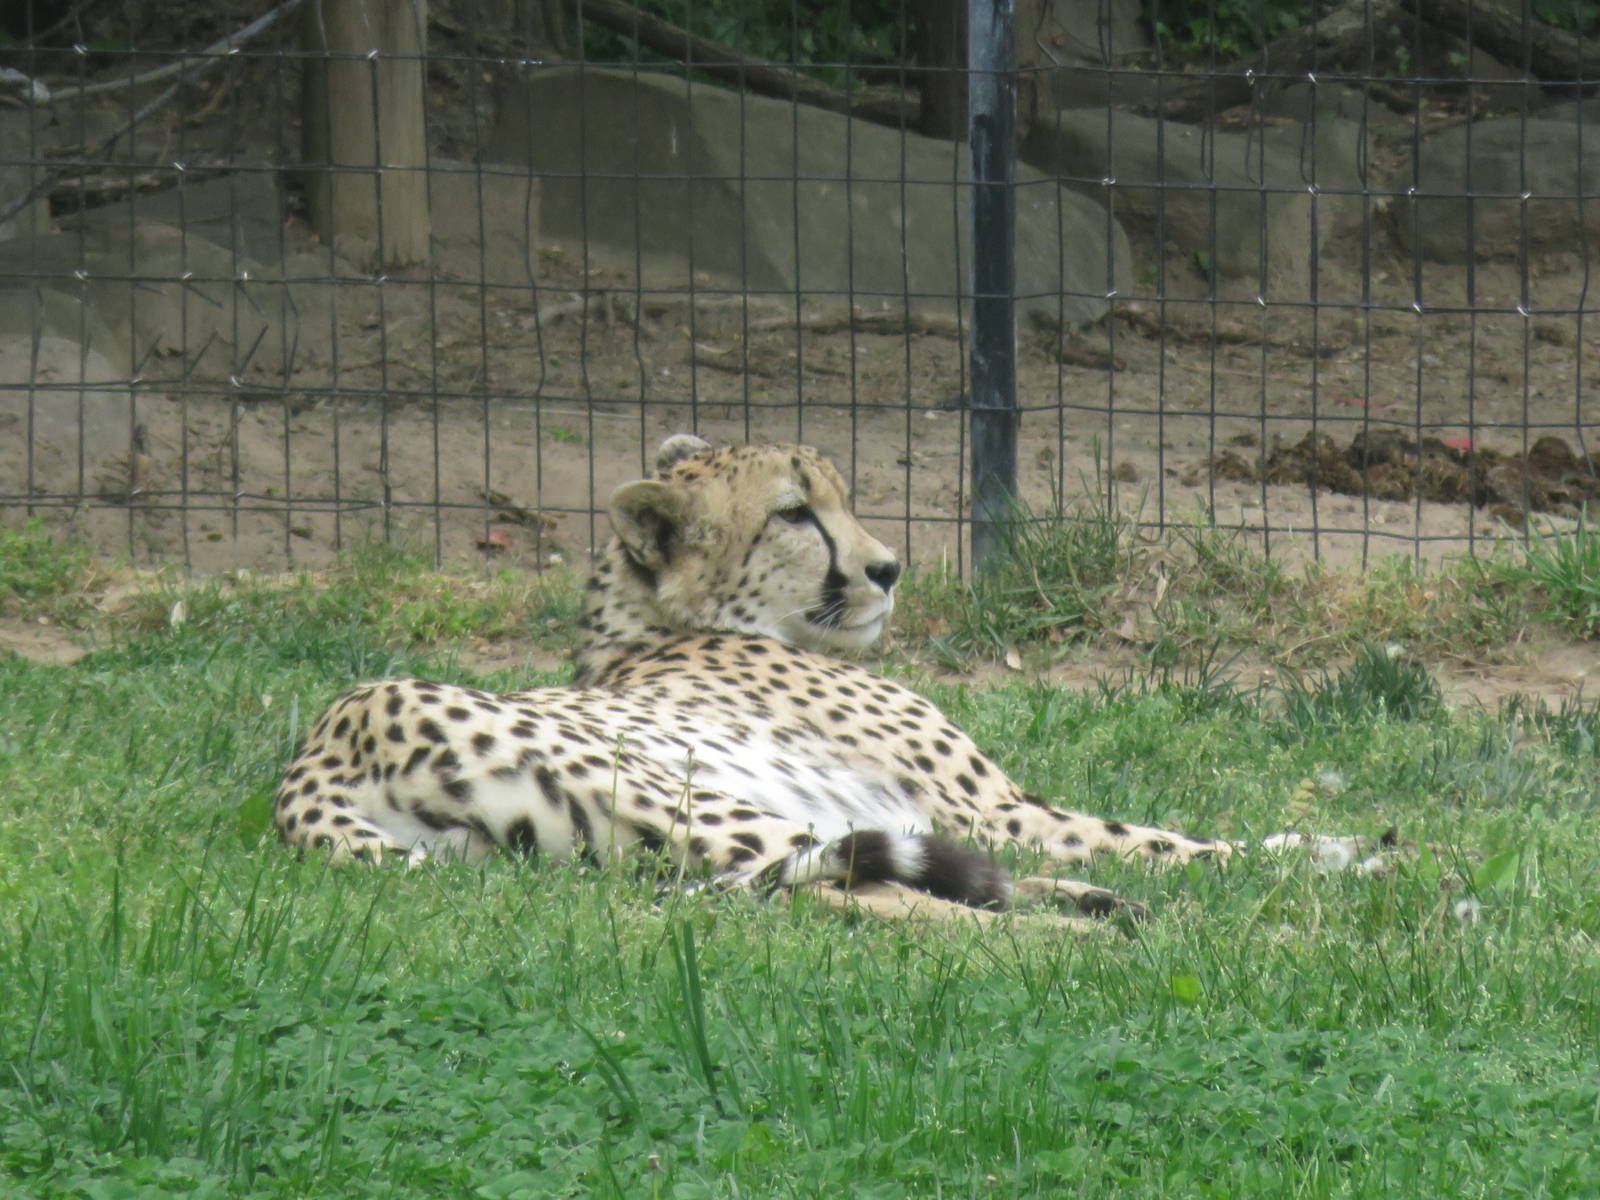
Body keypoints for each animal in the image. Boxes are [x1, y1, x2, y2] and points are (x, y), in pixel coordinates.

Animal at [273, 433, 1385, 919]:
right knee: (869, 891)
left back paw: (1083, 902)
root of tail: (331, 741)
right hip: (705, 800)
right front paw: (1341, 856)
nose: (889, 568)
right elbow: (1176, 838)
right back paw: (1087, 910)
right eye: (795, 513)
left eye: (841, 495)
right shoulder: (999, 808)